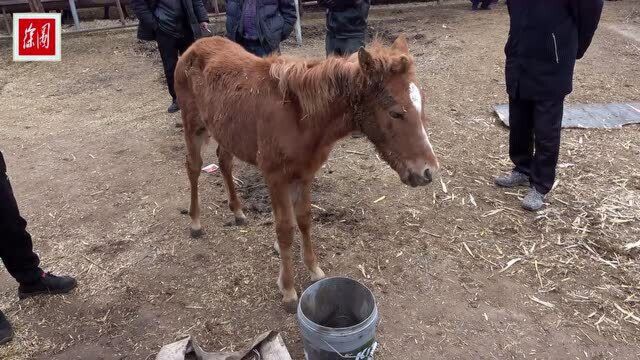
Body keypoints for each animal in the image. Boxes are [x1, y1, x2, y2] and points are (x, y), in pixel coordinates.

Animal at [175, 35, 440, 312]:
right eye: (396, 113)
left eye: (422, 106)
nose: (428, 171)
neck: (301, 117)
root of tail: (195, 46)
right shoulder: (275, 177)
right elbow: (285, 229)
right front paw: (289, 289)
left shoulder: (305, 174)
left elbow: (303, 219)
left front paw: (313, 269)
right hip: (193, 125)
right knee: (193, 166)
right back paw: (195, 222)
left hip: (225, 130)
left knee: (224, 162)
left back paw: (237, 212)